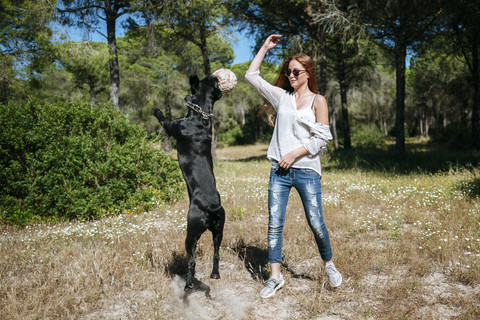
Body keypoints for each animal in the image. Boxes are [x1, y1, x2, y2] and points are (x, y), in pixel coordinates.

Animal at [155, 74, 228, 292]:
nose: (215, 75)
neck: (200, 115)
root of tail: (211, 207)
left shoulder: (172, 127)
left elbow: (163, 119)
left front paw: (157, 109)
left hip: (191, 233)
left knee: (192, 261)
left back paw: (188, 284)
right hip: (219, 232)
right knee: (216, 254)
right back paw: (214, 274)